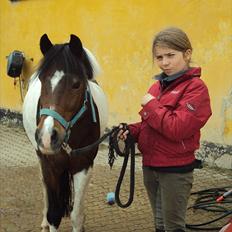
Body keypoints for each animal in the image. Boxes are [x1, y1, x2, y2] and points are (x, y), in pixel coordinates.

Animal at [22, 35, 108, 232]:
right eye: (42, 80)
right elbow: (54, 215)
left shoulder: (83, 164)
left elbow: (76, 215)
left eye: (76, 84)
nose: (47, 137)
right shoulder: (50, 165)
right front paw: (49, 220)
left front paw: (80, 222)